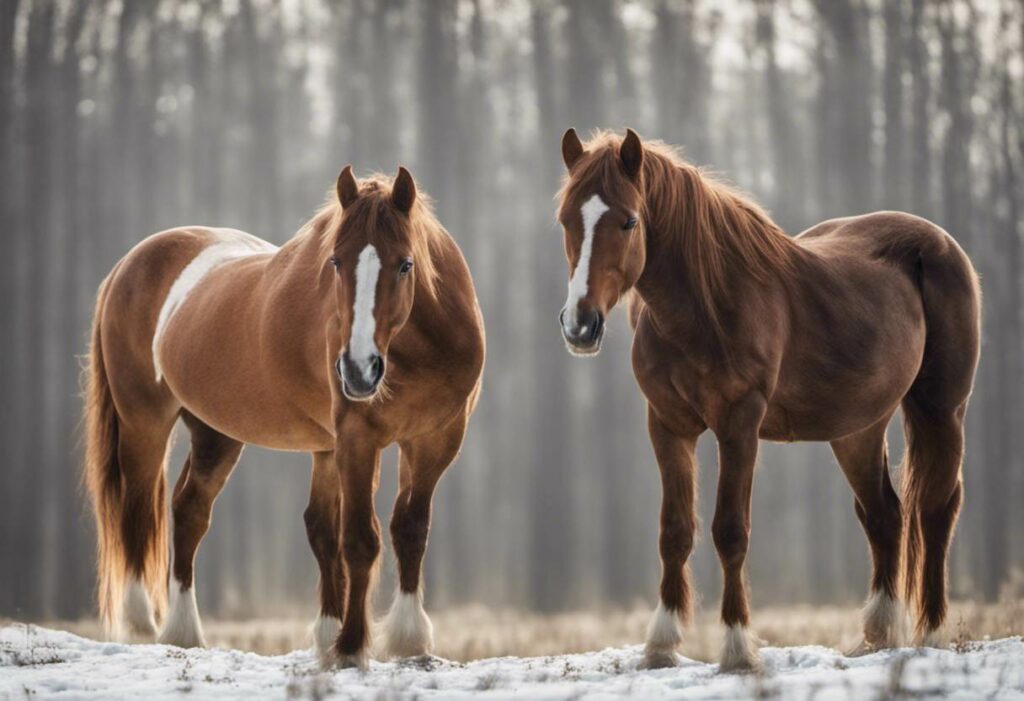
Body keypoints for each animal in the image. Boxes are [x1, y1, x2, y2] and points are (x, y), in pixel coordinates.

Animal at [82, 163, 483, 667]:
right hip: (144, 423)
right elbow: (359, 539)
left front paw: (406, 640)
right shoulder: (358, 439)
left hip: (216, 434)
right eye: (335, 261)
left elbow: (406, 529)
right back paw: (141, 627)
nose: (358, 370)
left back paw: (185, 632)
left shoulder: (434, 441)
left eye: (406, 264)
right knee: (136, 510)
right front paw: (350, 646)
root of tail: (127, 265)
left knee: (189, 510)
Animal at [557, 128, 978, 671]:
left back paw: (932, 634)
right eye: (567, 219)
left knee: (936, 509)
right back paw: (877, 636)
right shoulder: (668, 425)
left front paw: (737, 649)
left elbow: (730, 531)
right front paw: (661, 645)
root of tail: (939, 242)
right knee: (885, 515)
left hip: (942, 411)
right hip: (858, 430)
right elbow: (674, 531)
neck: (706, 306)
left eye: (629, 220)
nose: (579, 325)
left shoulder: (740, 423)